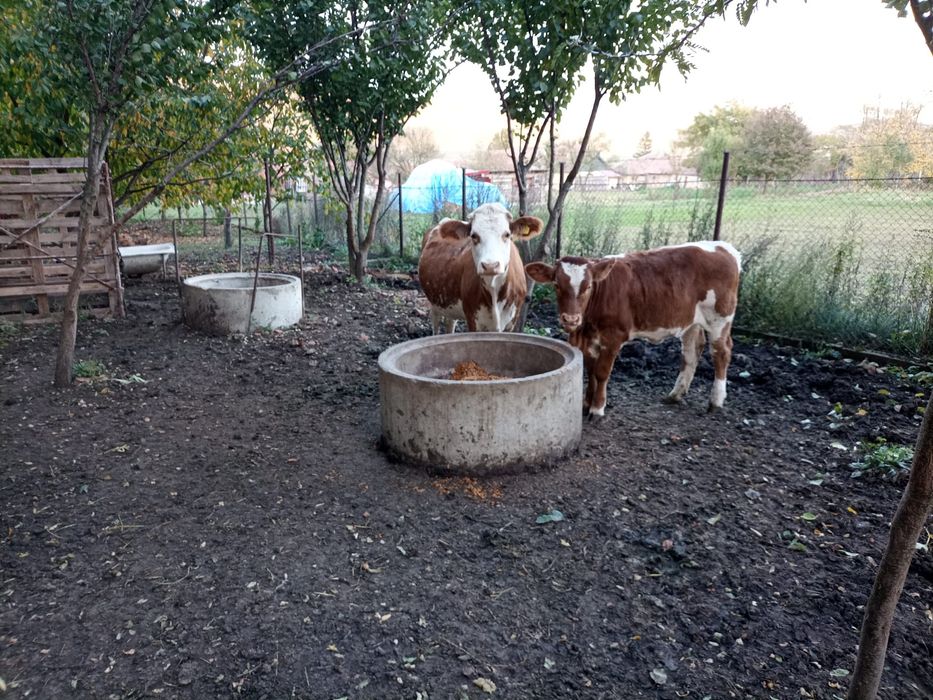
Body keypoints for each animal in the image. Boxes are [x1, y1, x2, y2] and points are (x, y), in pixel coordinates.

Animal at [418, 203, 544, 333]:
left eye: (507, 234)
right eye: (474, 236)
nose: (490, 266)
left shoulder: (512, 322)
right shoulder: (472, 319)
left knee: (450, 323)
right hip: (434, 302)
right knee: (435, 324)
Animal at [525, 241, 742, 417]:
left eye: (588, 286)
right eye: (556, 285)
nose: (571, 319)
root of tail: (724, 248)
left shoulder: (613, 337)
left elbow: (601, 372)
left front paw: (597, 408)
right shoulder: (588, 340)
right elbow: (591, 371)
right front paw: (586, 404)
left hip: (719, 317)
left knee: (721, 352)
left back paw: (716, 401)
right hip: (691, 320)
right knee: (692, 351)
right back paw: (675, 394)